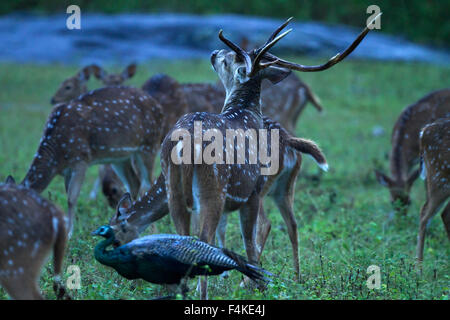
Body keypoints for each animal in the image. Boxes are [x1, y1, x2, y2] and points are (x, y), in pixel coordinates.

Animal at [22, 86, 163, 234]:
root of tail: (158, 105)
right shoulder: (67, 170)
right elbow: (68, 195)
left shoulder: (81, 159)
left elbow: (72, 198)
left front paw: (69, 232)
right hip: (120, 157)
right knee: (134, 184)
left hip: (149, 145)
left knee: (147, 183)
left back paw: (153, 231)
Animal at [155, 15, 380, 298]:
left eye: (229, 59)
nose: (215, 52)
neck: (247, 114)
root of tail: (184, 144)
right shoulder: (253, 190)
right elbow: (249, 243)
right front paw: (256, 284)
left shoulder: (251, 194)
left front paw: (251, 282)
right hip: (216, 189)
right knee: (209, 238)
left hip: (173, 189)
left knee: (185, 238)